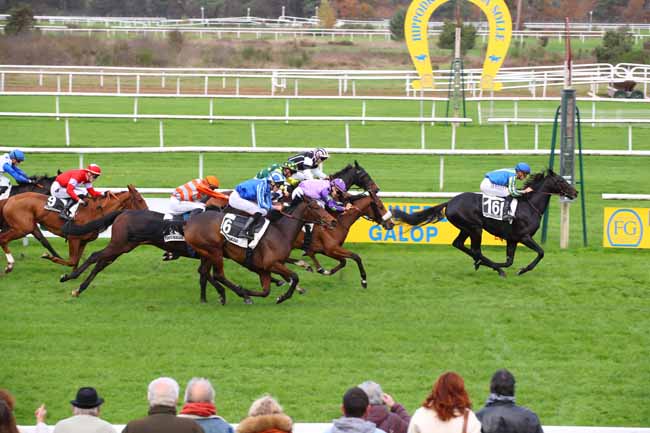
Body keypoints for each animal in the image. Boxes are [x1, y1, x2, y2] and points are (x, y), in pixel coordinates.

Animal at [0, 186, 147, 274]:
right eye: (140, 199)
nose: (147, 213)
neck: (94, 212)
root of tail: (9, 199)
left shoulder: (83, 241)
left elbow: (75, 261)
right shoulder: (73, 238)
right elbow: (71, 261)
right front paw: (49, 257)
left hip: (30, 226)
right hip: (22, 228)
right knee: (3, 238)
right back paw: (10, 265)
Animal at [182, 197, 334, 304]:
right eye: (315, 207)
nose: (333, 221)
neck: (281, 232)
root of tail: (190, 222)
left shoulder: (264, 269)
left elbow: (266, 291)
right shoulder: (271, 264)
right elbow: (295, 277)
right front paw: (282, 297)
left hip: (208, 253)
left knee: (204, 272)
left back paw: (215, 296)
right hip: (215, 251)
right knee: (218, 275)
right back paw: (236, 294)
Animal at [392, 170, 576, 276]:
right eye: (561, 181)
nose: (575, 192)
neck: (529, 206)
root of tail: (450, 202)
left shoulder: (512, 239)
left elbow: (510, 260)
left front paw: (509, 267)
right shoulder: (524, 236)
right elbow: (541, 252)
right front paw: (522, 270)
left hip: (466, 228)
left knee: (459, 244)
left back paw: (483, 263)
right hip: (475, 228)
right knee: (476, 250)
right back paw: (492, 267)